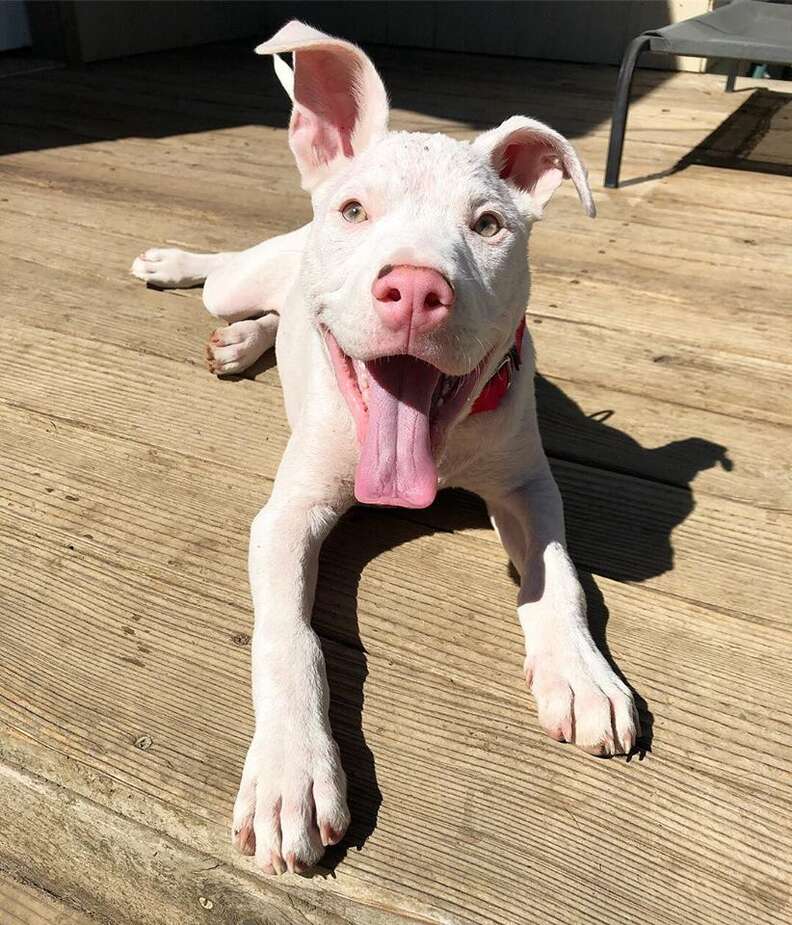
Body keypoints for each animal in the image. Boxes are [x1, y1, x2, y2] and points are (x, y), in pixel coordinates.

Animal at [130, 19, 636, 872]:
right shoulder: (287, 516)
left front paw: (581, 673)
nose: (417, 289)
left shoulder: (529, 486)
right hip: (237, 279)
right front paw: (290, 773)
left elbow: (560, 576)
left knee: (272, 311)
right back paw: (177, 266)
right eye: (356, 210)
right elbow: (289, 638)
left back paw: (242, 343)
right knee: (228, 275)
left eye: (488, 225)